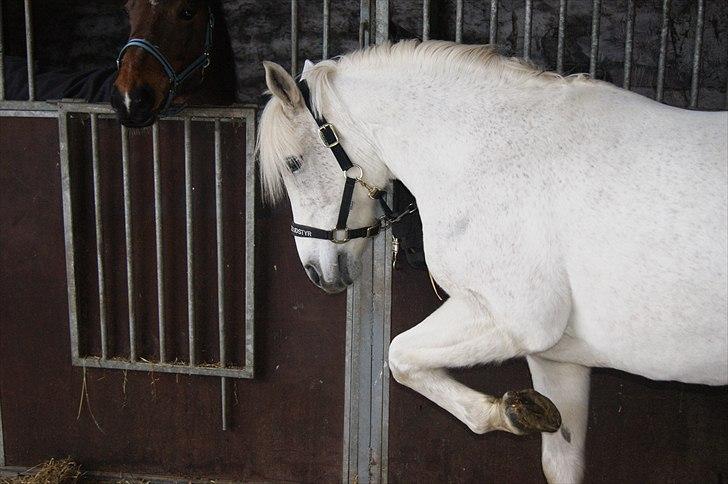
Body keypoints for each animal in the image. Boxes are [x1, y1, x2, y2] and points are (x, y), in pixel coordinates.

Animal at [256, 40, 728, 483]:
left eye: (294, 164)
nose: (316, 272)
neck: (491, 155)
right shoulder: (559, 359)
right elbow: (561, 463)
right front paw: (528, 412)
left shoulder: (516, 320)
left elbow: (399, 356)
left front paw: (508, 412)